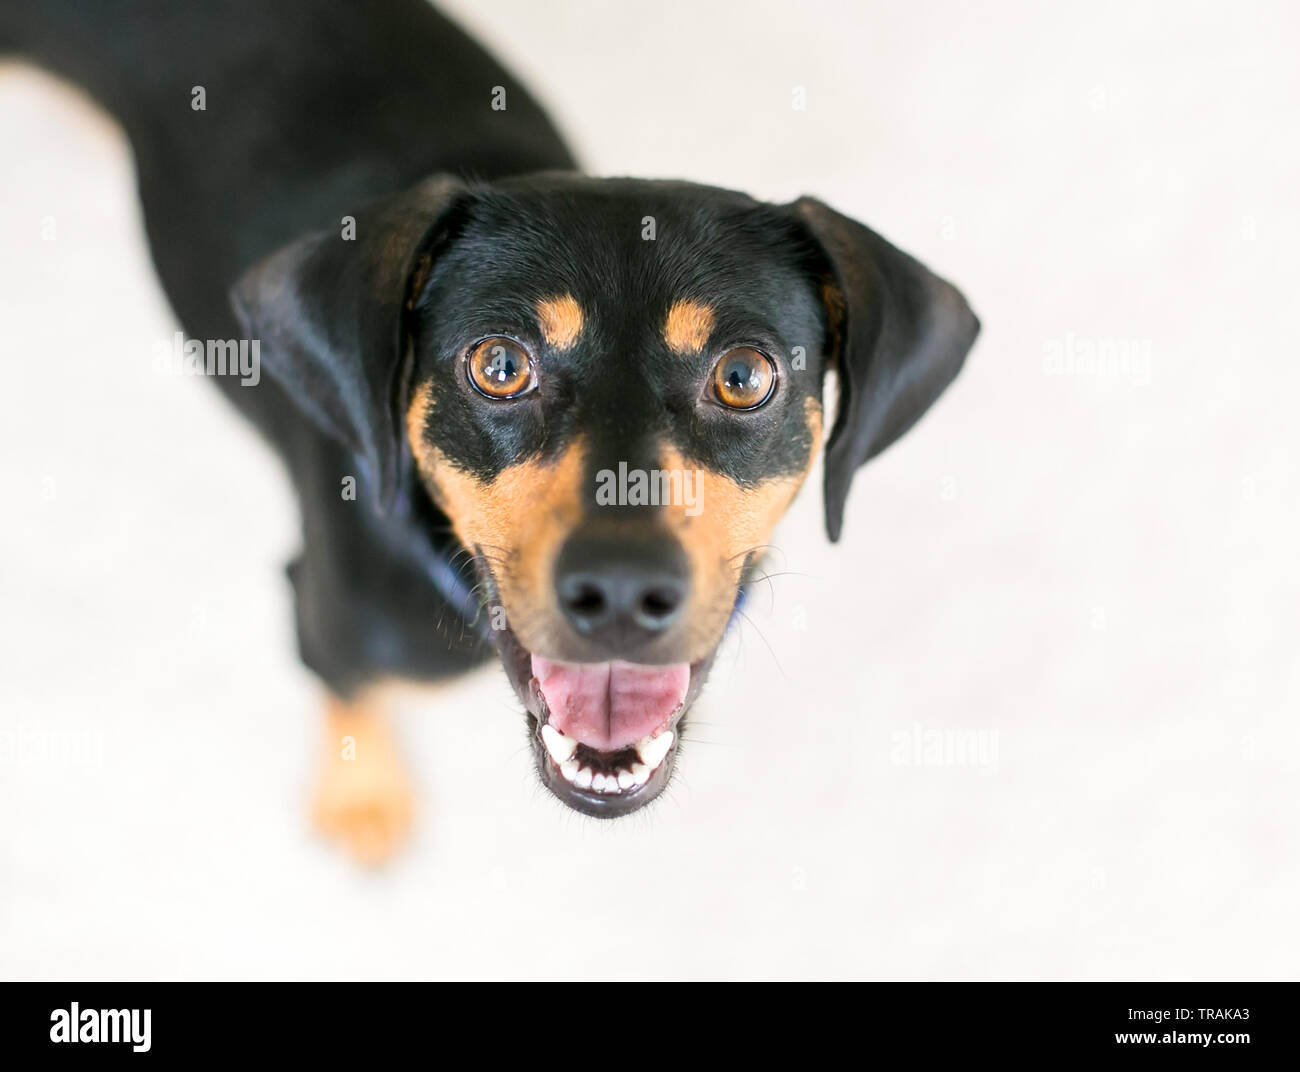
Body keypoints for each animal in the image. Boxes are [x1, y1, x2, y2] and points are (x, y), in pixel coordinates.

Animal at [0, 0, 977, 852]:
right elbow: (351, 701)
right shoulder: (322, 618)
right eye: (500, 366)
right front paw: (363, 798)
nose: (621, 592)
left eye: (744, 377)